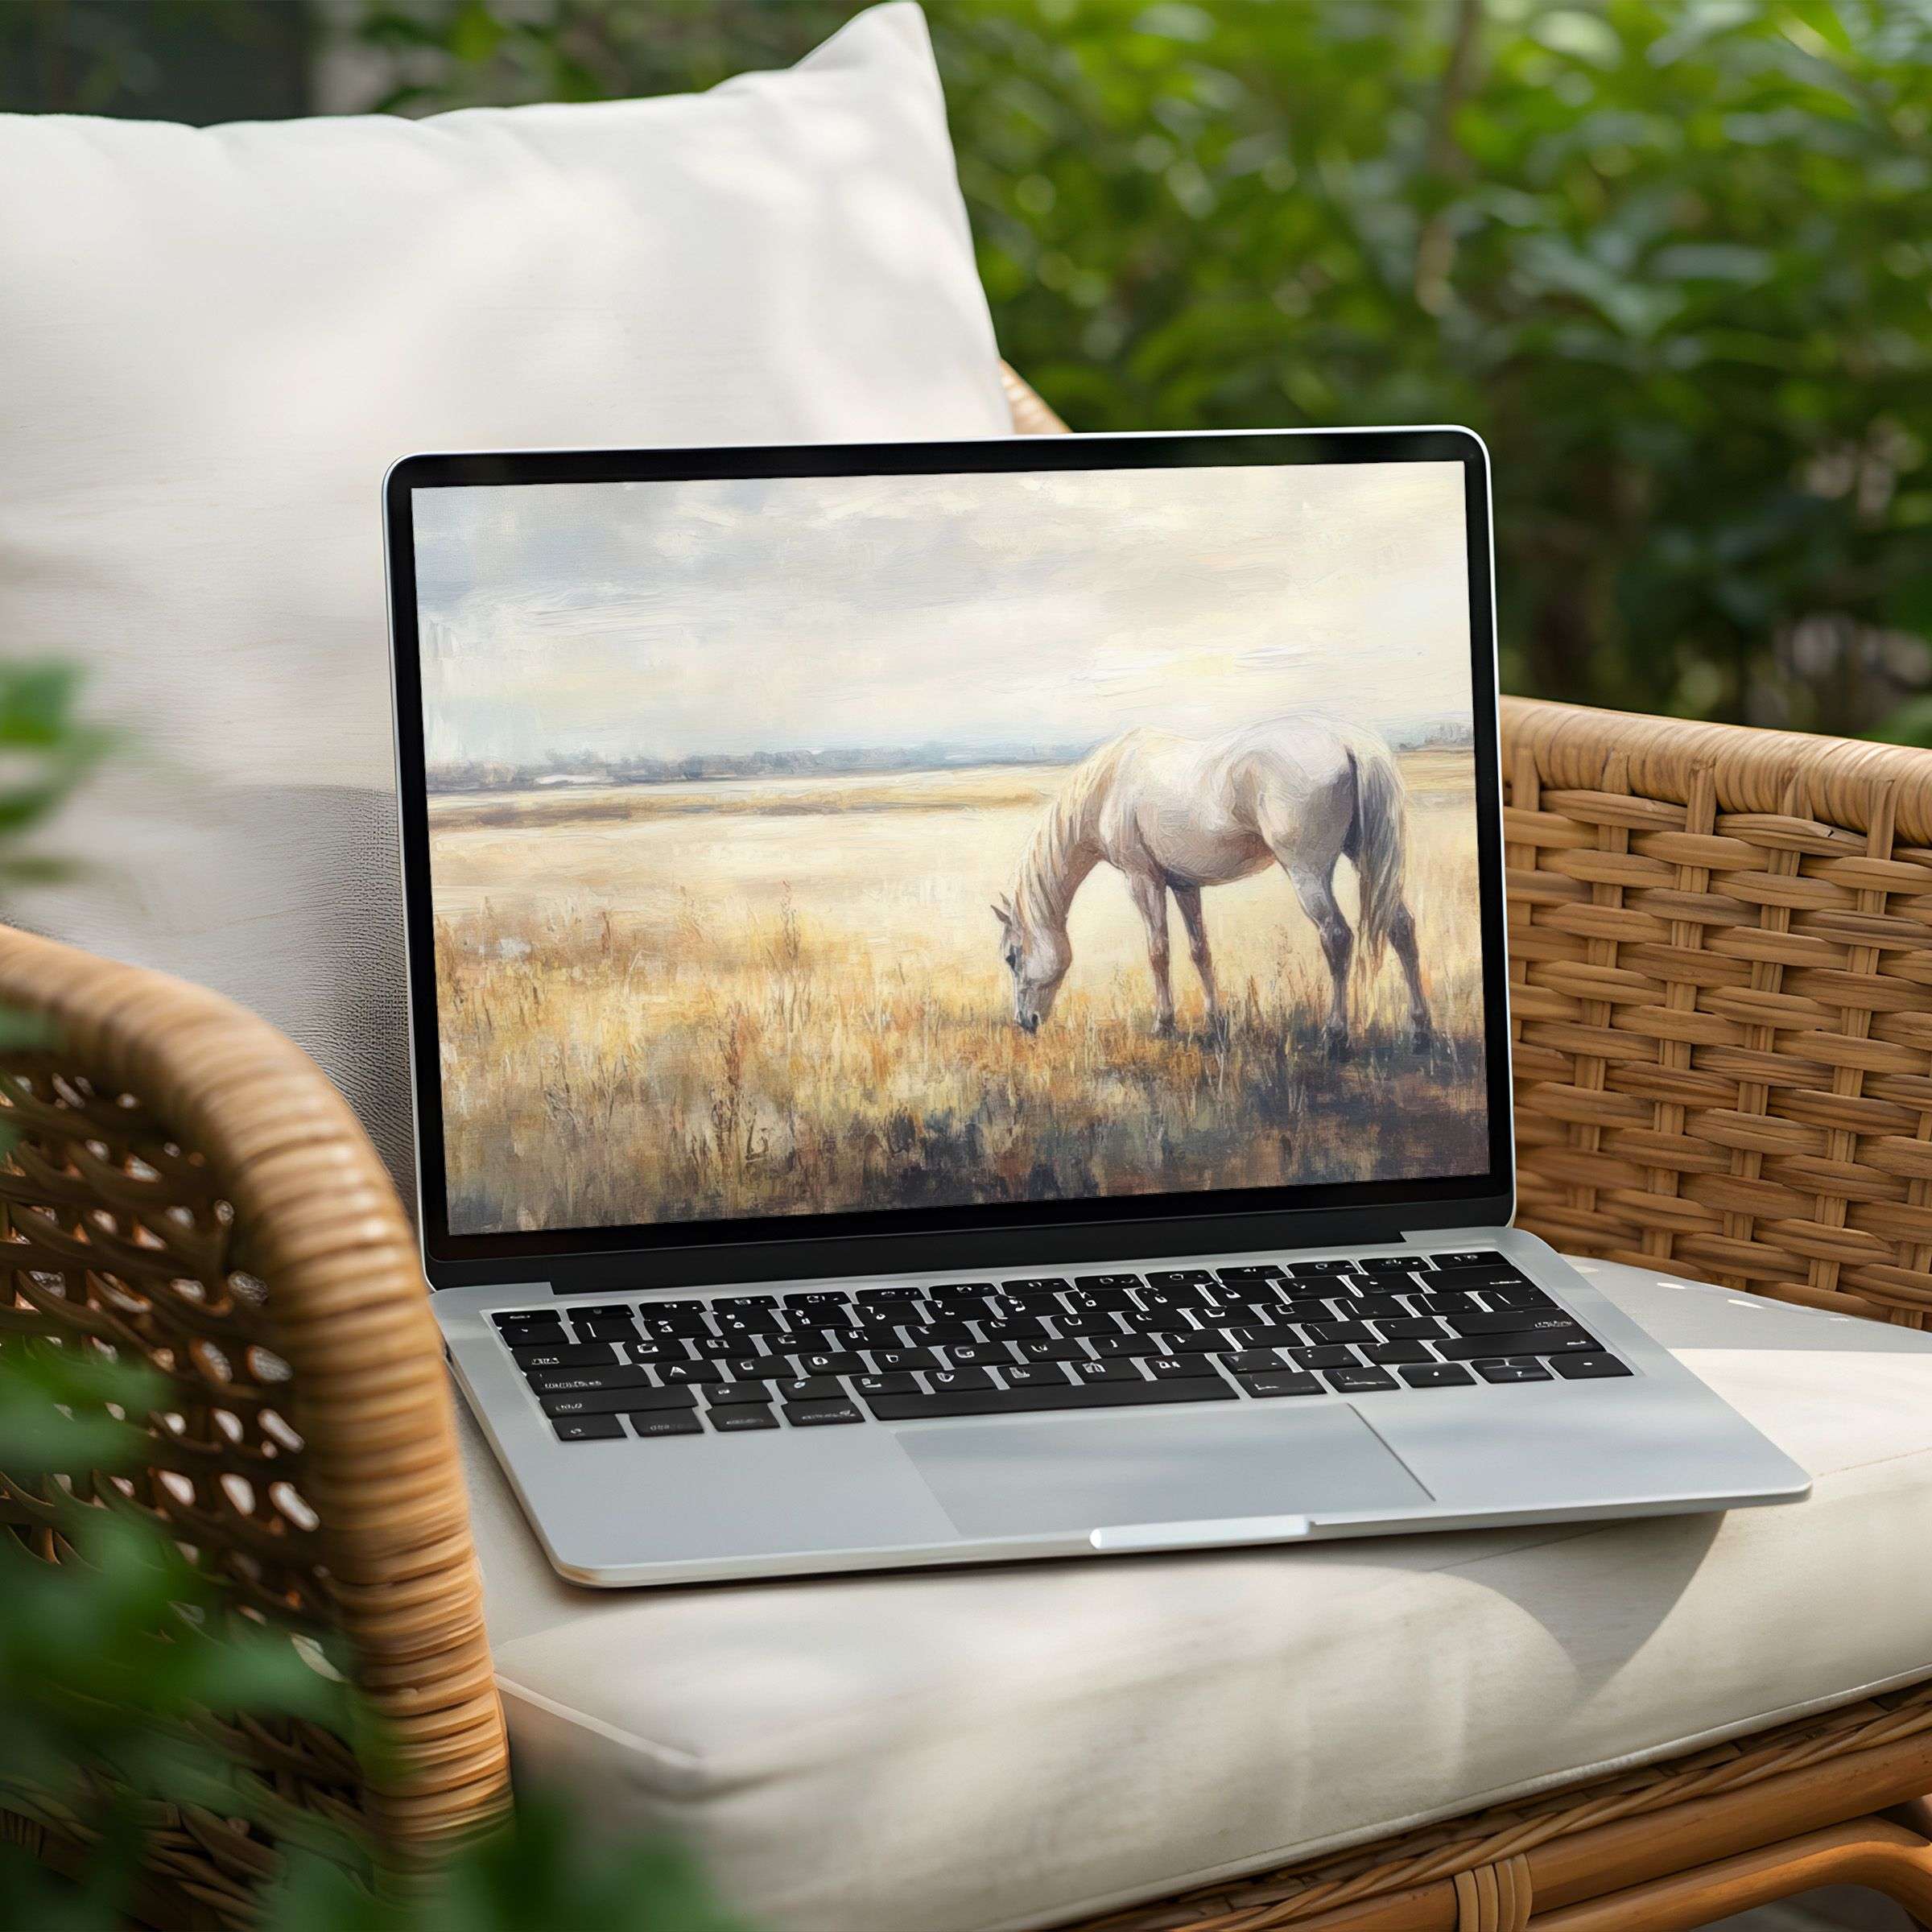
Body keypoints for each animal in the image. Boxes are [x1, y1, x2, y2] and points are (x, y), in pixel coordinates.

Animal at [992, 716, 1431, 1053]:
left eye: (1012, 957)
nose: (1025, 1022)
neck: (1108, 785)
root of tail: (1348, 742)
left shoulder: (1143, 880)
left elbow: (1158, 951)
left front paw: (1164, 1025)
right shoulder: (1185, 885)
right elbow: (1200, 951)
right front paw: (1216, 1023)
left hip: (1308, 872)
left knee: (1337, 936)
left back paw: (1335, 1037)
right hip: (1365, 858)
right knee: (1401, 927)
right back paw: (1421, 1031)